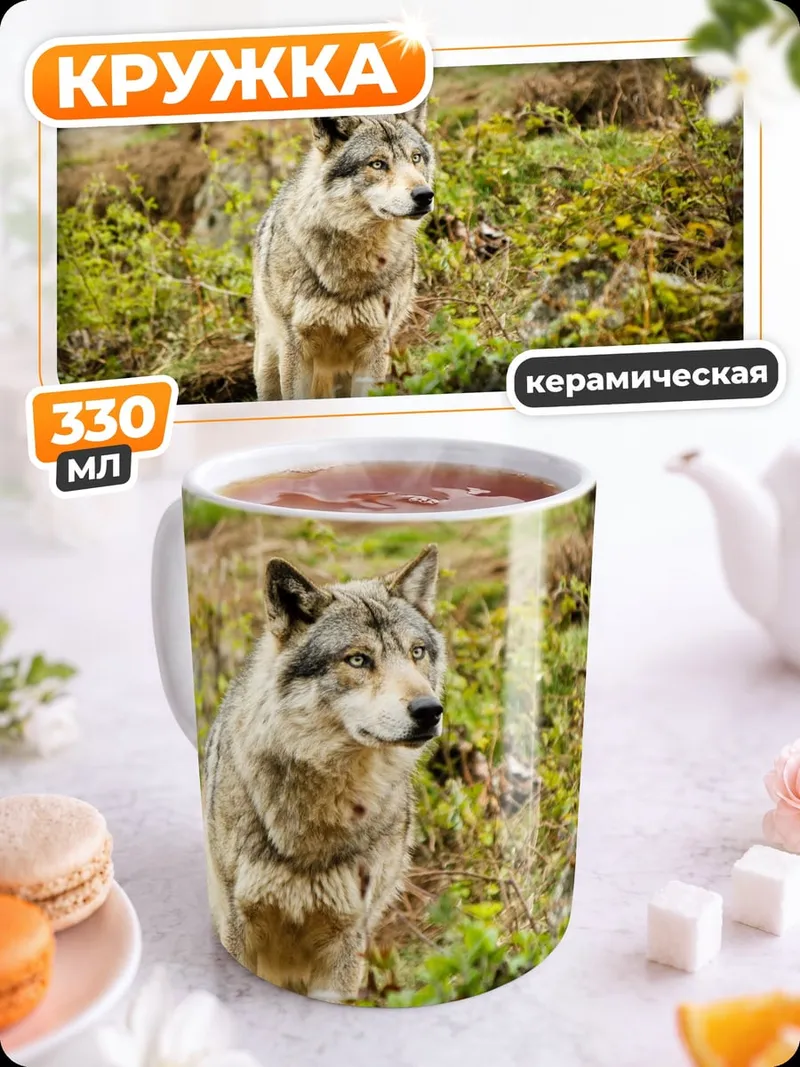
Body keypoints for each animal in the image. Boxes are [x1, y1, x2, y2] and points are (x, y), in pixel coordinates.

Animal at [251, 103, 435, 402]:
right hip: (269, 367)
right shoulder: (296, 349)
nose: (424, 195)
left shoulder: (374, 348)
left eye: (416, 158)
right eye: (377, 164)